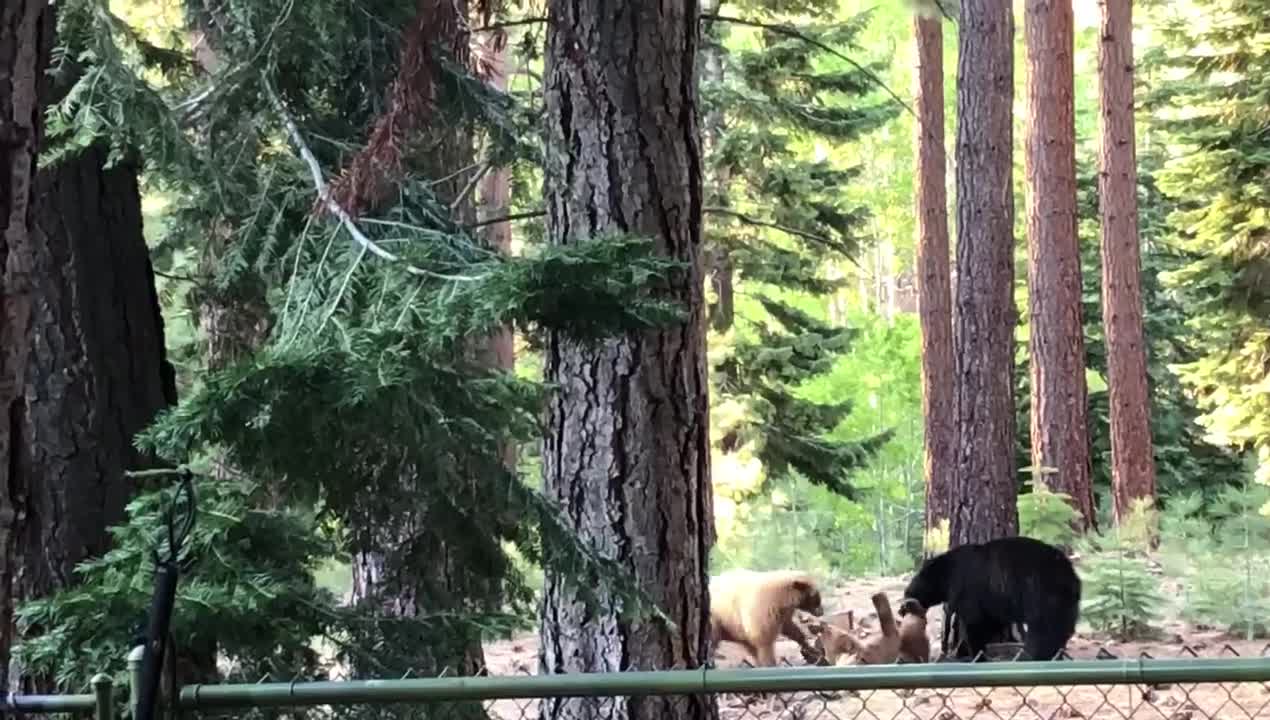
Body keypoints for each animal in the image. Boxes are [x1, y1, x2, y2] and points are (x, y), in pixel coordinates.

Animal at [899, 538, 1076, 660]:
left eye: (910, 590)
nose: (901, 609)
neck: (948, 573)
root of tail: (1070, 574)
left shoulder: (968, 589)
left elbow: (974, 623)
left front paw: (976, 655)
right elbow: (990, 622)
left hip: (1043, 595)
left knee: (1045, 630)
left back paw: (1036, 655)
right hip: (1062, 601)